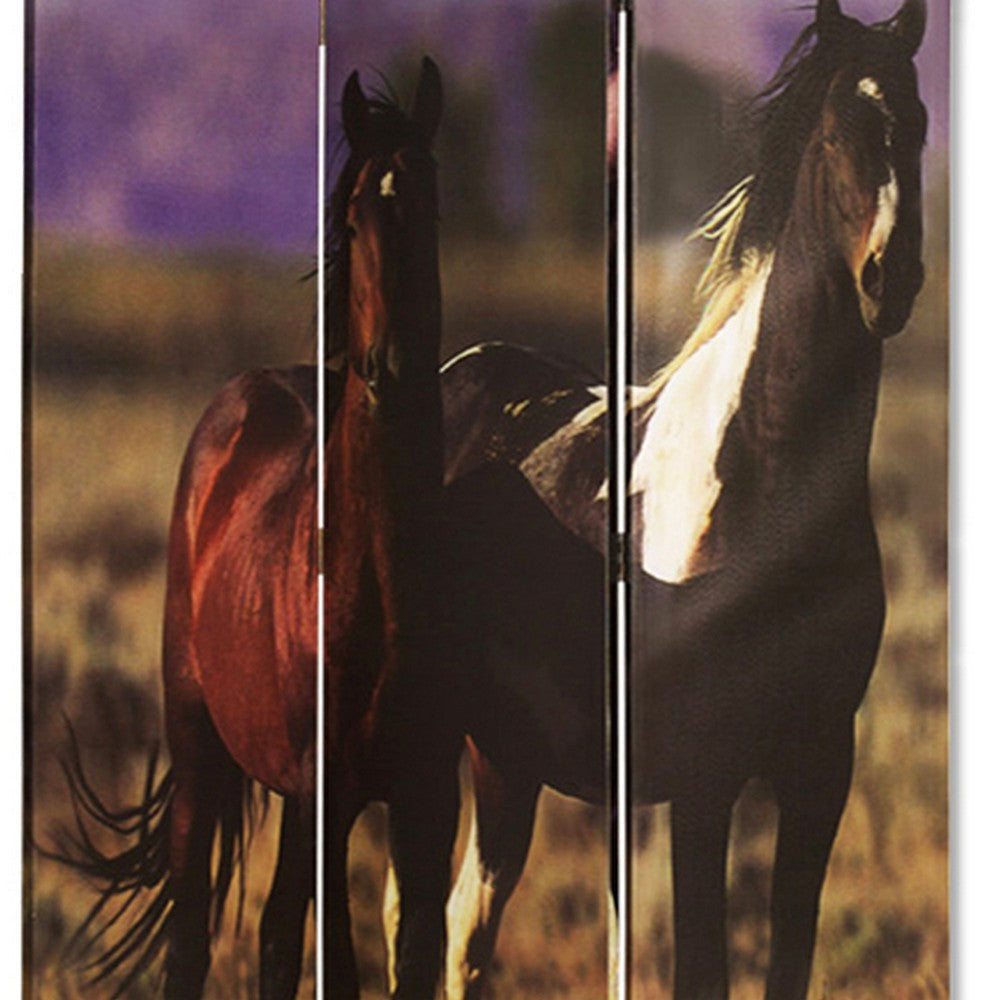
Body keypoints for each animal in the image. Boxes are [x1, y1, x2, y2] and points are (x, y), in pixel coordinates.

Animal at [48, 58, 458, 1000]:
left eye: (429, 207)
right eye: (355, 216)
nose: (391, 370)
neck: (376, 580)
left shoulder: (427, 797)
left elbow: (411, 959)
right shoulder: (324, 794)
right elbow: (318, 955)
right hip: (203, 752)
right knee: (203, 935)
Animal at [429, 2, 928, 997]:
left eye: (921, 123)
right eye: (835, 133)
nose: (889, 280)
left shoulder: (819, 767)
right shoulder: (705, 778)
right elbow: (702, 965)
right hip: (484, 755)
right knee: (459, 928)